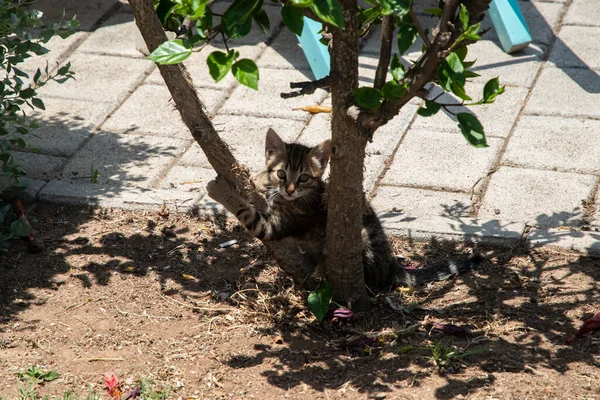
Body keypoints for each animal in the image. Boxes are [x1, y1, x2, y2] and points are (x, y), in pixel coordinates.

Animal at [206, 130, 478, 290]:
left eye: (304, 177)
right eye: (282, 173)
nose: (290, 190)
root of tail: (391, 266)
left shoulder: (275, 225)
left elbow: (246, 212)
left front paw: (220, 191)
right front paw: (261, 177)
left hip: (361, 240)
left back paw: (321, 266)